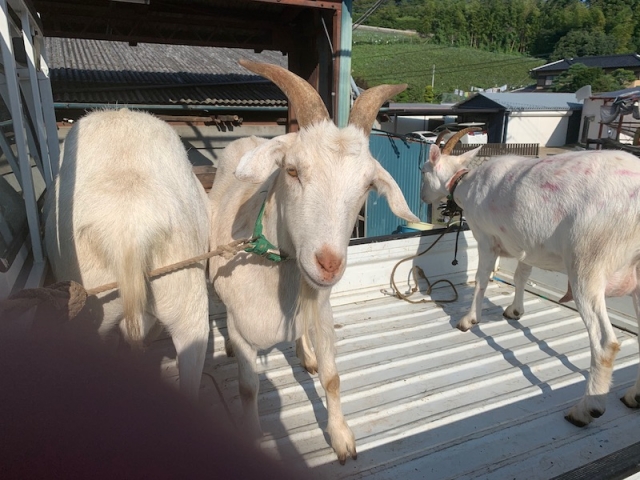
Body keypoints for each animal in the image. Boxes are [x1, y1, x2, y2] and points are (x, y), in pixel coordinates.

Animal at [422, 134, 640, 428]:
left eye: (423, 170)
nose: (422, 197)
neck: (466, 181)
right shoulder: (525, 242)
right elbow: (521, 275)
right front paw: (515, 311)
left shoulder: (486, 238)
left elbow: (481, 279)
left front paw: (468, 320)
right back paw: (633, 397)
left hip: (589, 258)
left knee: (605, 342)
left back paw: (585, 410)